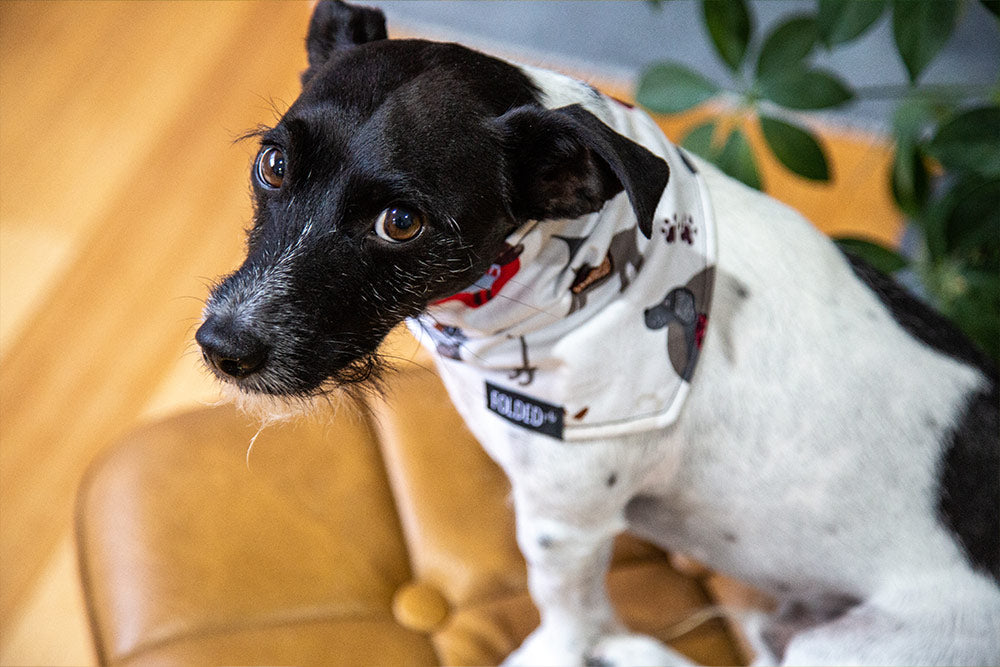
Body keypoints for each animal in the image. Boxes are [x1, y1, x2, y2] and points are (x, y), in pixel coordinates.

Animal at [197, 2, 1000, 664]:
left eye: (402, 222)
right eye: (274, 164)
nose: (223, 347)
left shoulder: (565, 528)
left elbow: (568, 620)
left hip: (852, 648)